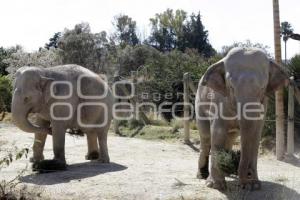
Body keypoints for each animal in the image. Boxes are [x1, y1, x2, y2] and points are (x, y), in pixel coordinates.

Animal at [196, 47, 288, 190]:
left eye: (262, 88)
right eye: (231, 87)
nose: (244, 183)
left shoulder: (264, 105)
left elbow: (256, 135)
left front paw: (255, 185)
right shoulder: (218, 100)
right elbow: (217, 132)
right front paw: (216, 185)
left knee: (230, 137)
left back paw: (227, 173)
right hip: (199, 104)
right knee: (206, 138)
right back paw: (202, 176)